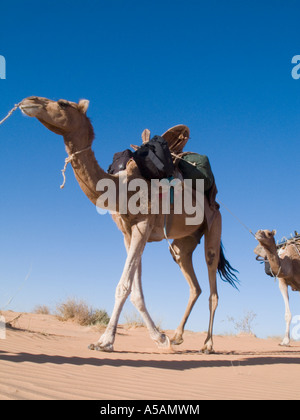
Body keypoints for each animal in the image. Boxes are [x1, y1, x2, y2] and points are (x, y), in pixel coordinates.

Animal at [19, 94, 239, 352]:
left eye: (63, 103)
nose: (28, 101)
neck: (122, 187)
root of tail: (215, 202)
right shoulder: (127, 232)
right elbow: (135, 291)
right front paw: (159, 338)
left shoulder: (143, 226)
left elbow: (123, 286)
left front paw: (104, 341)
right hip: (184, 242)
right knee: (192, 281)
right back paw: (177, 336)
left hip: (215, 225)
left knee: (212, 280)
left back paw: (207, 344)